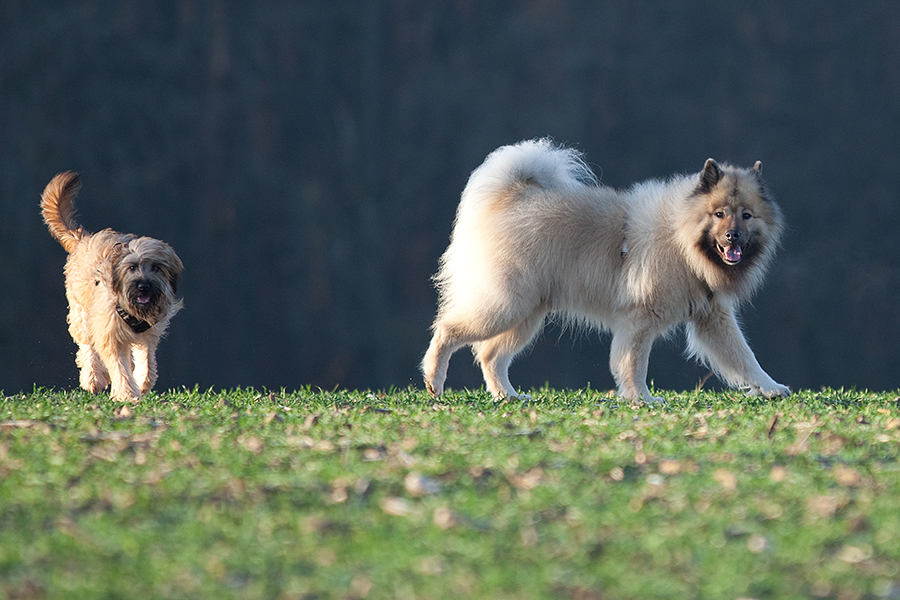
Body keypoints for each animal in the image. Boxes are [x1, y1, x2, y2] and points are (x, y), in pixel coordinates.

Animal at [41, 171, 184, 400]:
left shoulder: (147, 334)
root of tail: (84, 239)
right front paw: (127, 394)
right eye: (132, 267)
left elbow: (146, 362)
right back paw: (93, 378)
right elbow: (119, 365)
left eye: (156, 267)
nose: (144, 286)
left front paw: (141, 383)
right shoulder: (110, 331)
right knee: (87, 345)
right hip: (81, 311)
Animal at [422, 139, 788, 404]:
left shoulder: (712, 317)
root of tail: (510, 197)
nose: (733, 236)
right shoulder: (640, 319)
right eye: (719, 214)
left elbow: (745, 358)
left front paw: (771, 387)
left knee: (490, 356)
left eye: (746, 215)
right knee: (447, 330)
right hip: (505, 305)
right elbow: (634, 364)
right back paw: (434, 382)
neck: (681, 240)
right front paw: (642, 399)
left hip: (525, 314)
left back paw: (508, 396)